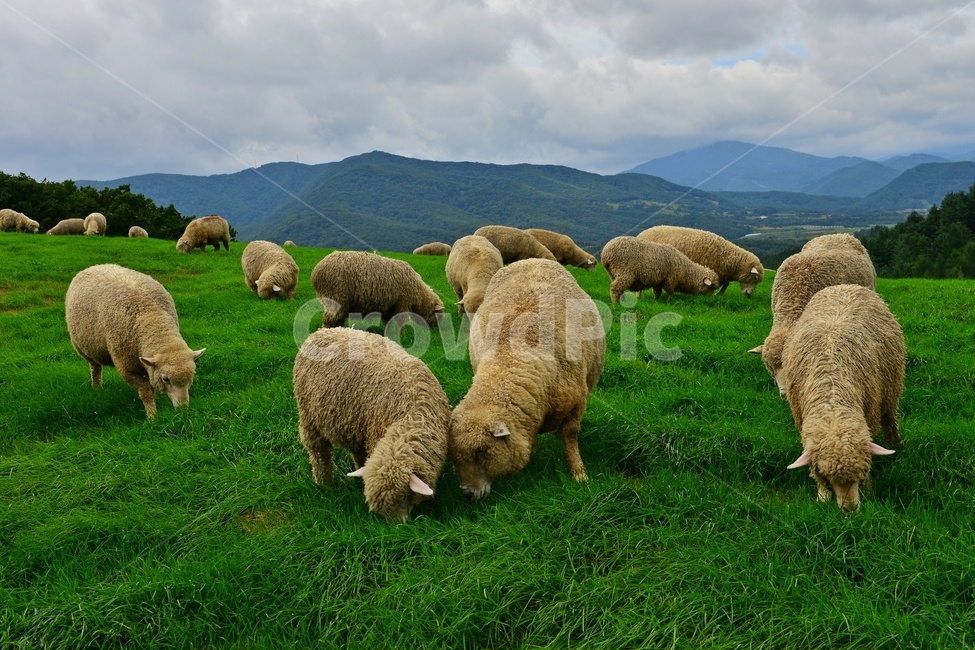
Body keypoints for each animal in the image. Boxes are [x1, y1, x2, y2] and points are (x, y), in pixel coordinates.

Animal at [65, 264, 206, 420]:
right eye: (165, 379)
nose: (183, 409)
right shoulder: (127, 368)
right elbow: (145, 392)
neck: (151, 317)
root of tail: (95, 266)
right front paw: (152, 417)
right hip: (83, 348)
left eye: (192, 376)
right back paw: (97, 388)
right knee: (95, 367)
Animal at [293, 327, 450, 522]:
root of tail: (321, 332)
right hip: (309, 419)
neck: (410, 418)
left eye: (403, 497)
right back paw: (325, 484)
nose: (397, 526)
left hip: (355, 425)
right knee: (319, 454)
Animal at [311, 251, 444, 328]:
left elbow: (388, 321)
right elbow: (401, 321)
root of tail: (316, 272)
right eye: (437, 314)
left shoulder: (389, 306)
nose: (435, 329)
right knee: (329, 318)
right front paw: (402, 334)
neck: (420, 294)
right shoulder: (403, 303)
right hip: (336, 297)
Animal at [448, 258, 606, 500]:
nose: (468, 494)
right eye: (453, 458)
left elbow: (570, 436)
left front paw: (579, 474)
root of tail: (532, 259)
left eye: (481, 451)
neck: (510, 356)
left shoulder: (576, 403)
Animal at [782, 284, 904, 511]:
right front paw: (822, 496)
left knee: (890, 419)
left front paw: (868, 491)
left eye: (862, 473)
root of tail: (844, 286)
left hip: (892, 389)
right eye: (829, 478)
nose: (850, 510)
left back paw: (896, 445)